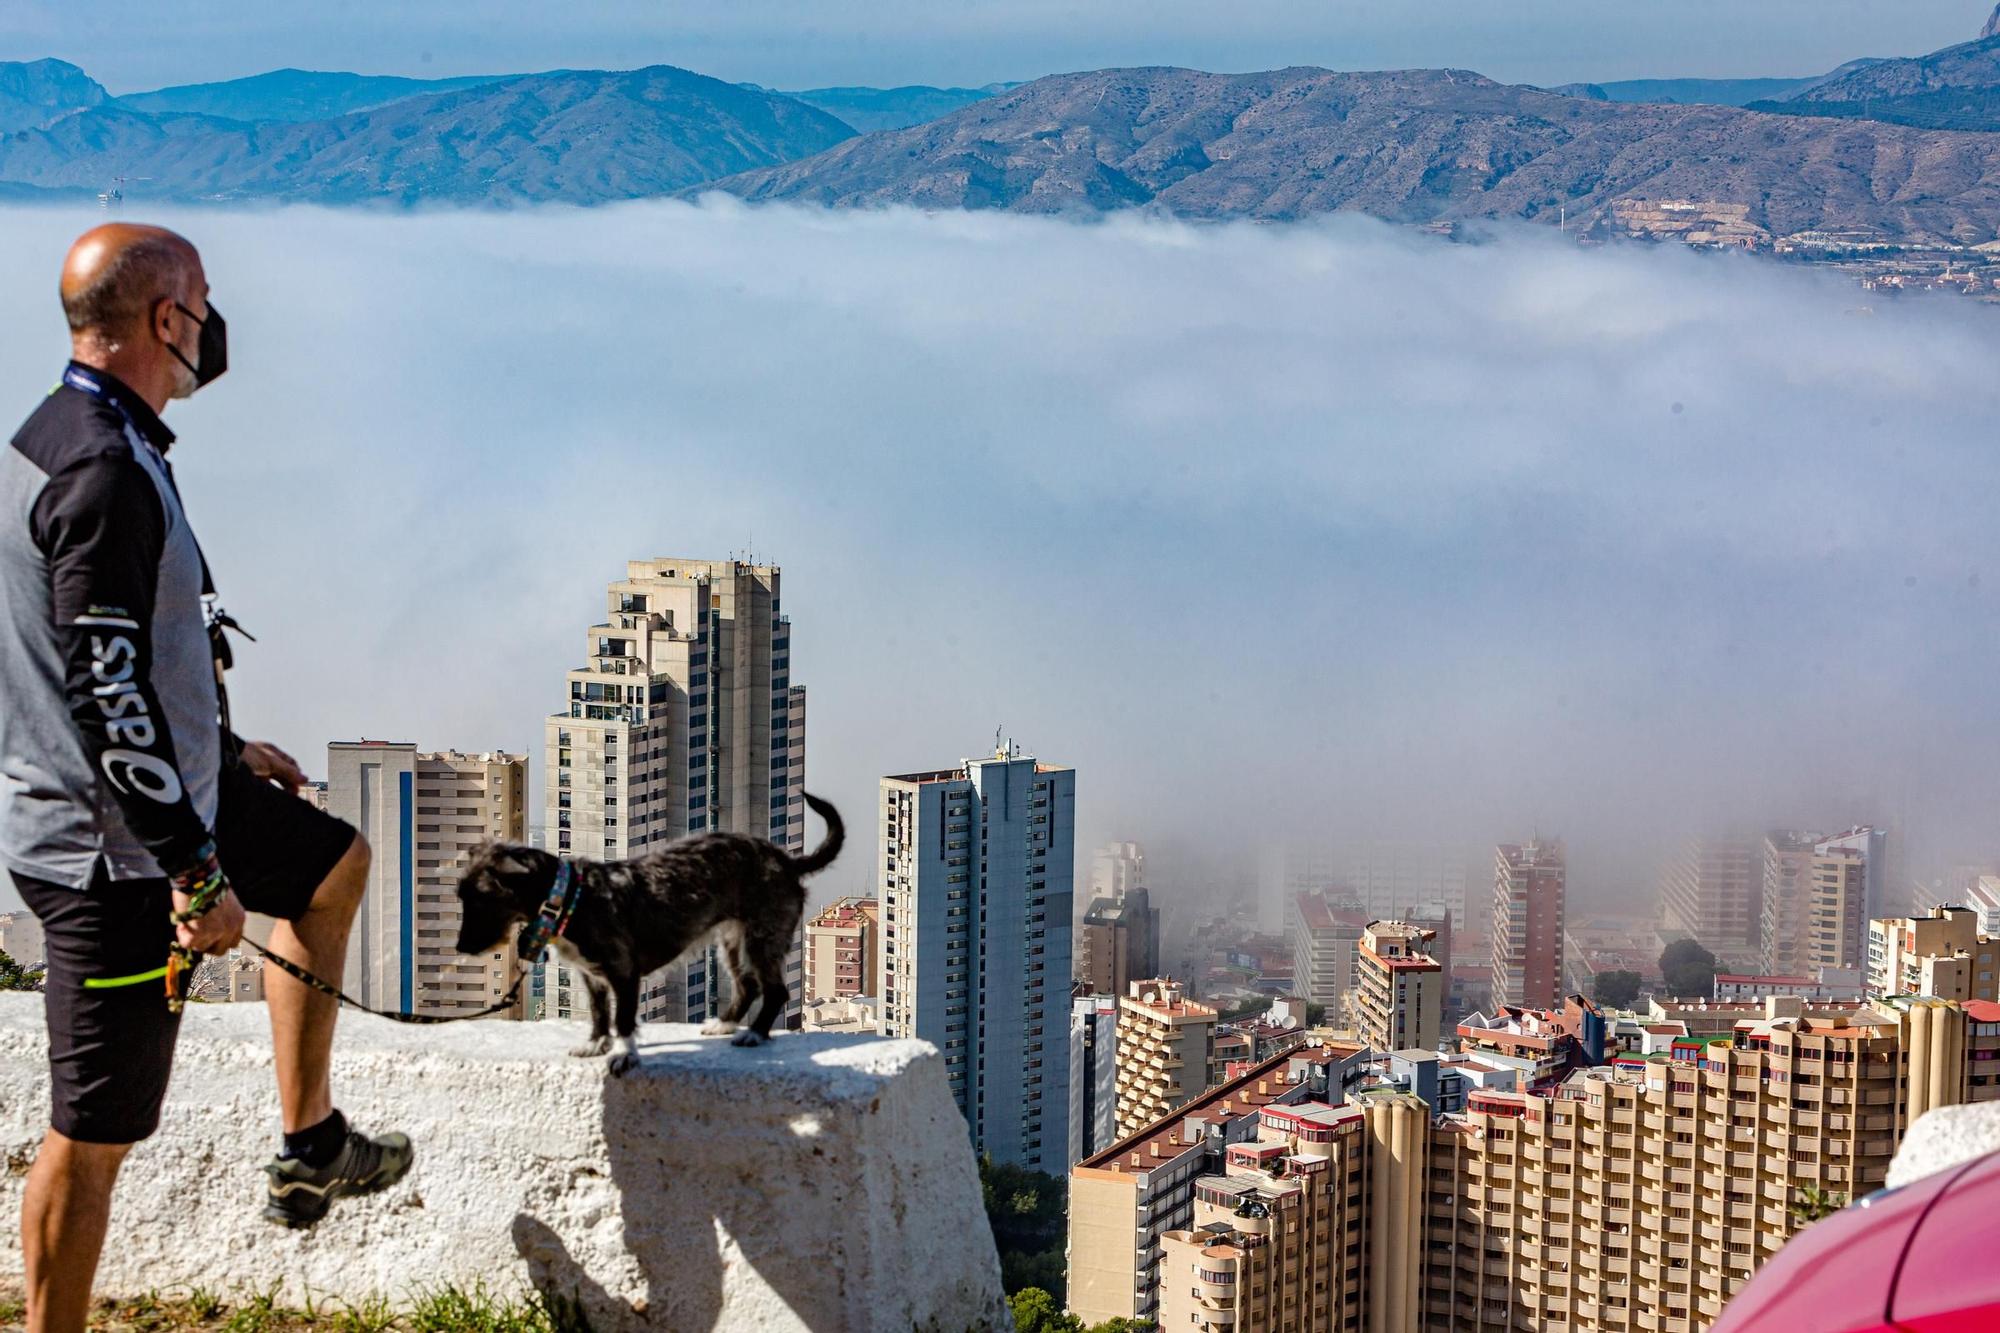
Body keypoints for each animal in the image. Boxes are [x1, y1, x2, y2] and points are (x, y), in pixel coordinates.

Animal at [458, 788, 840, 1072]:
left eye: (480, 901)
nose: (461, 948)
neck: (570, 897)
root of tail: (787, 861)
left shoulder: (624, 973)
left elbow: (623, 1019)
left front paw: (624, 1054)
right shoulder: (591, 977)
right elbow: (600, 1014)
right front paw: (596, 1044)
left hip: (762, 936)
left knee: (775, 990)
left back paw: (755, 1034)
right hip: (731, 940)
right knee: (748, 986)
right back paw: (726, 1024)